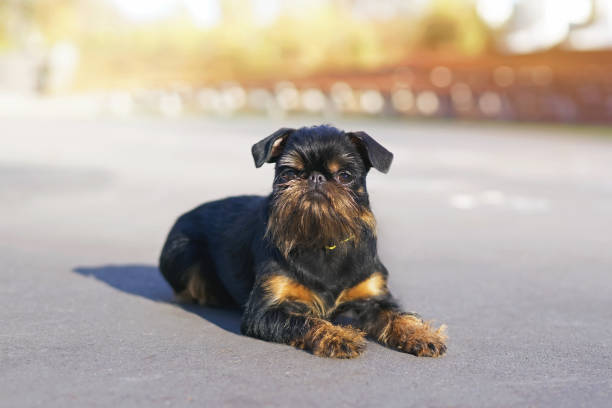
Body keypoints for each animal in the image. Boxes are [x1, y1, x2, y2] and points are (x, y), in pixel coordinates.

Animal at [158, 123, 448, 356]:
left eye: (344, 175)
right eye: (289, 173)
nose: (316, 177)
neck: (322, 239)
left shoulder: (373, 297)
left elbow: (398, 314)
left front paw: (421, 333)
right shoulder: (264, 312)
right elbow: (306, 320)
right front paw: (338, 335)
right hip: (182, 251)